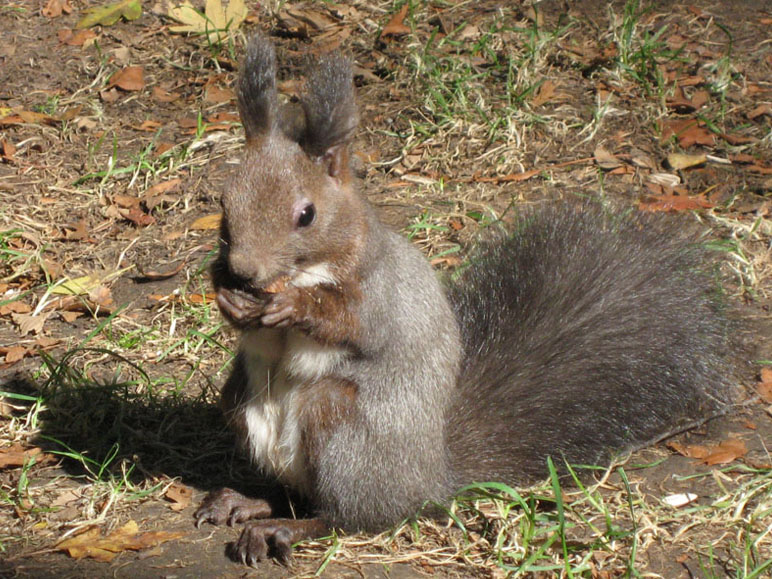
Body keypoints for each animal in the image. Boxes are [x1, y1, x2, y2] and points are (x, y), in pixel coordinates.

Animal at [193, 35, 736, 568]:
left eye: (306, 215)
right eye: (224, 201)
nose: (246, 270)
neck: (307, 270)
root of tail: (431, 480)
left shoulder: (378, 289)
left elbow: (355, 322)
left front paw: (296, 308)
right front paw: (229, 296)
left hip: (341, 425)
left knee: (345, 515)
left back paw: (285, 528)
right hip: (240, 401)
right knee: (292, 491)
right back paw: (246, 501)